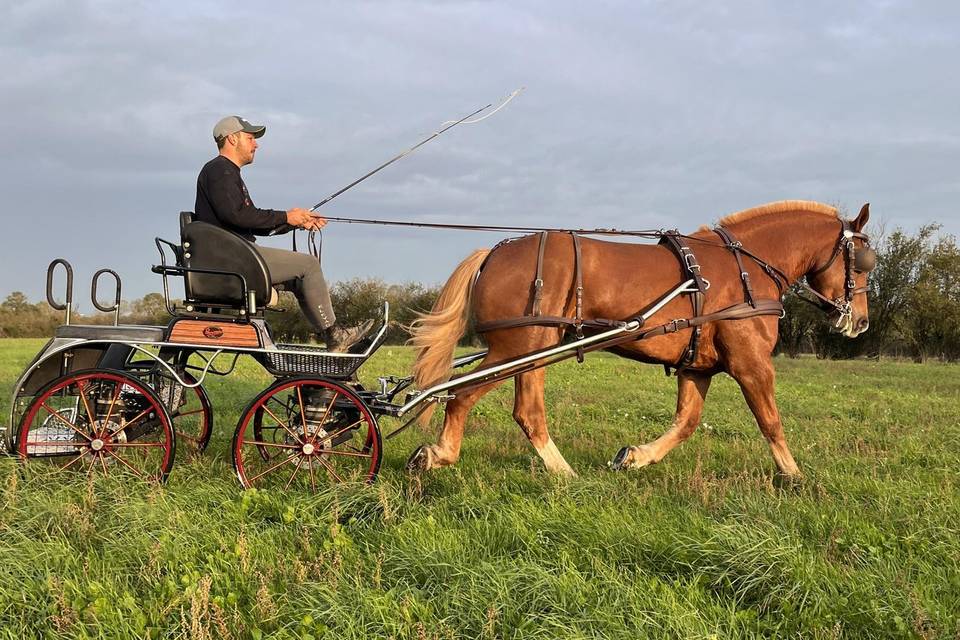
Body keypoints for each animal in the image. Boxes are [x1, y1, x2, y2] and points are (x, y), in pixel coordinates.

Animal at [404, 202, 872, 478]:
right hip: (517, 348)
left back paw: (559, 472)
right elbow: (770, 421)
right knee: (462, 396)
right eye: (865, 262)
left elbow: (685, 424)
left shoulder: (697, 367)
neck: (746, 269)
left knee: (525, 412)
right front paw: (794, 477)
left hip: (531, 352)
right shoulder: (751, 363)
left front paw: (634, 456)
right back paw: (444, 455)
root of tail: (494, 254)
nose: (862, 323)